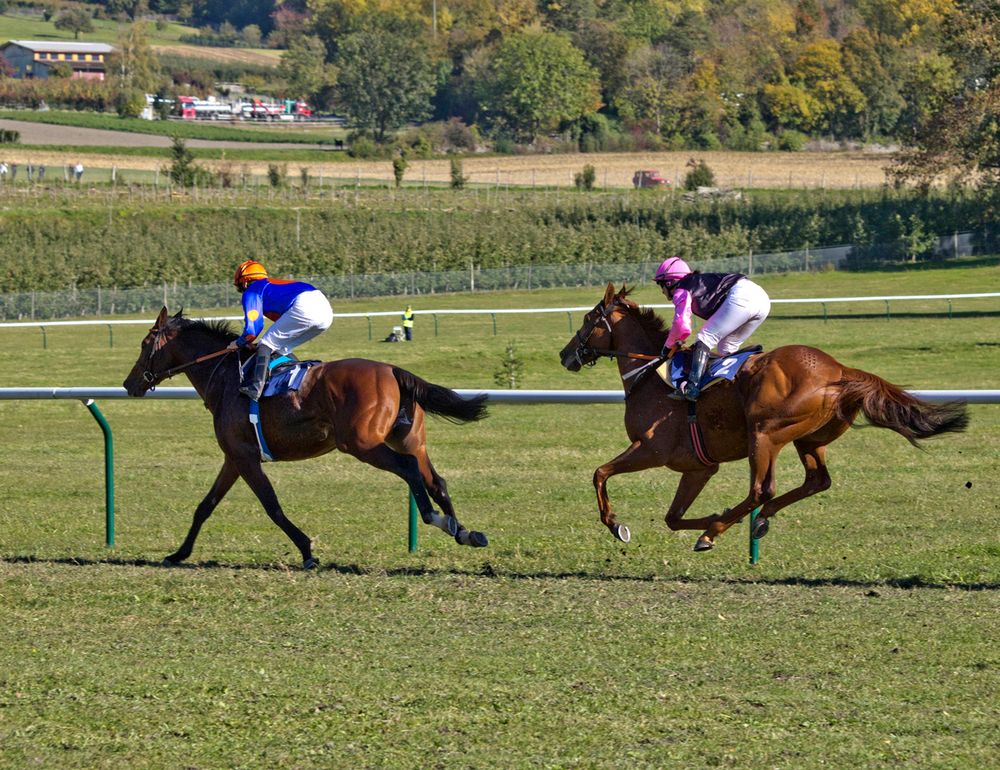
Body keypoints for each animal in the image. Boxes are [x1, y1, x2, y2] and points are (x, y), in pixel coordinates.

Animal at [123, 304, 490, 564]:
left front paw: (307, 549)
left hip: (362, 443)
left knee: (409, 469)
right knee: (436, 480)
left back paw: (434, 517)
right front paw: (178, 554)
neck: (227, 377)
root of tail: (392, 370)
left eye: (144, 344)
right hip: (409, 439)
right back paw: (464, 531)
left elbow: (272, 506)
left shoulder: (246, 457)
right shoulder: (234, 457)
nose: (129, 384)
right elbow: (205, 505)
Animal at [560, 282, 964, 552]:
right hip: (807, 438)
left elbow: (600, 473)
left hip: (764, 432)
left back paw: (716, 531)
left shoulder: (651, 449)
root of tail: (839, 370)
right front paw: (717, 516)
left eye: (589, 319)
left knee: (762, 489)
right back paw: (757, 519)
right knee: (816, 481)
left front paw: (616, 525)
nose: (565, 354)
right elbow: (672, 518)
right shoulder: (699, 467)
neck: (649, 377)